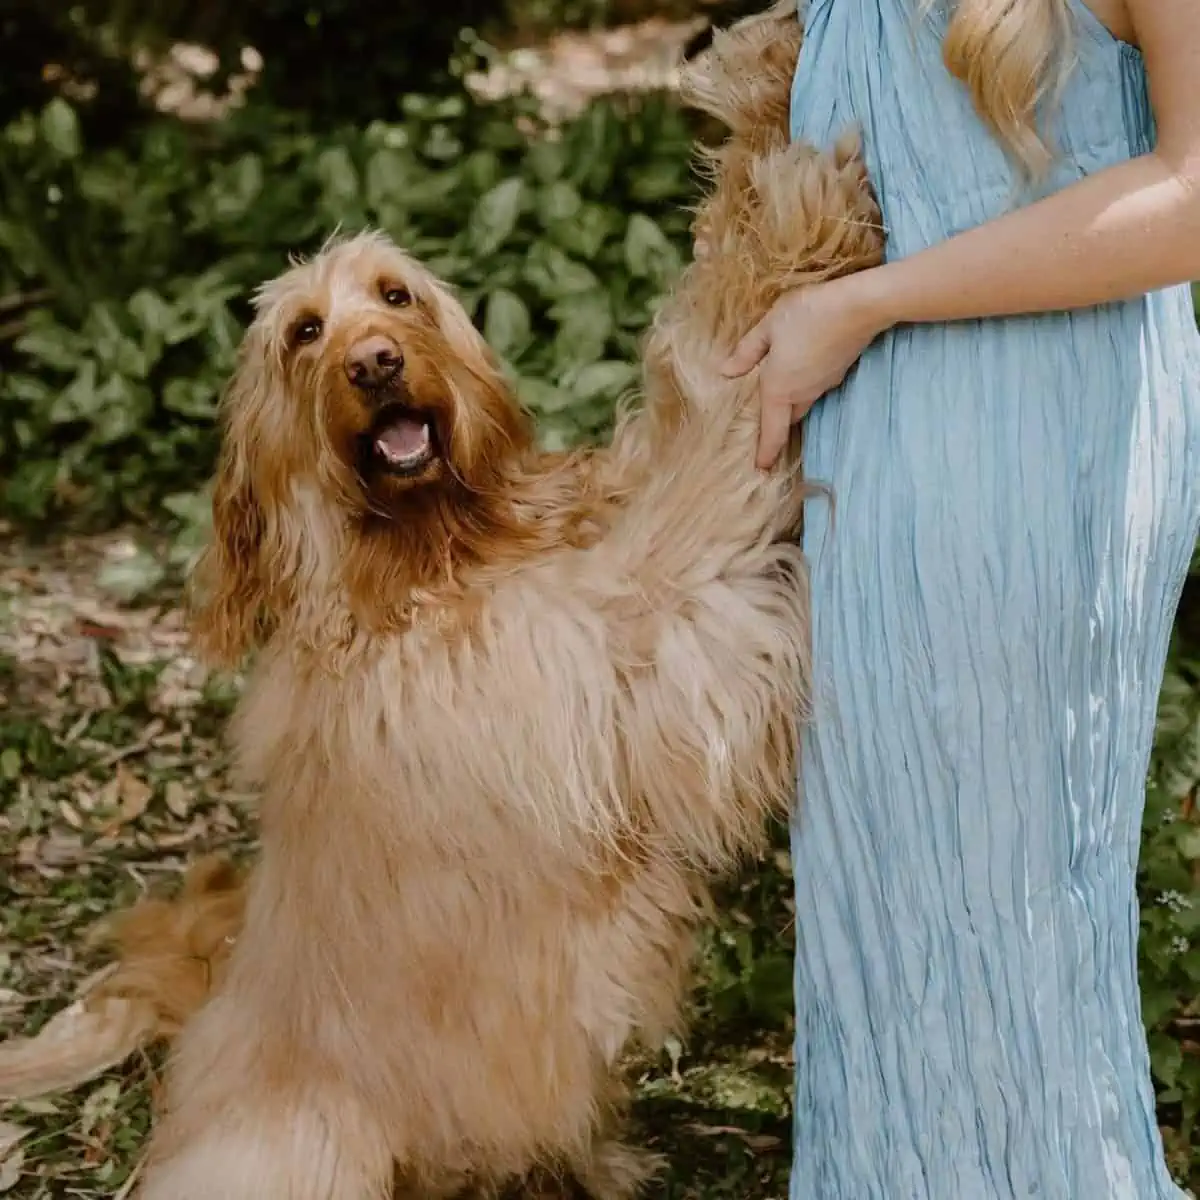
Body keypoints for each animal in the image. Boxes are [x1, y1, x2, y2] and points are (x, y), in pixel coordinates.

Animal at [0, 4, 883, 1195]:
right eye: (304, 334)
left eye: (396, 296)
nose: (376, 363)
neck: (430, 561)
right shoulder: (651, 631)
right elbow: (718, 380)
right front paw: (796, 208)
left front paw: (761, 89)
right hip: (306, 1151)